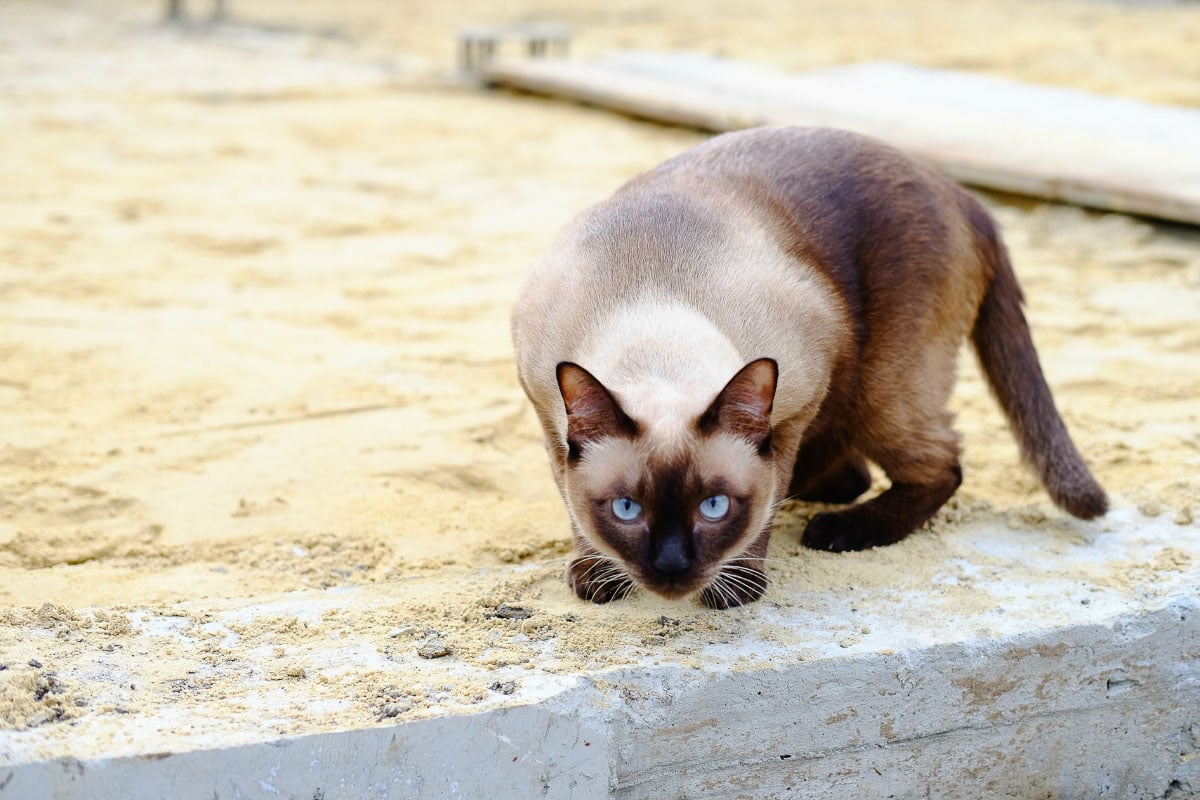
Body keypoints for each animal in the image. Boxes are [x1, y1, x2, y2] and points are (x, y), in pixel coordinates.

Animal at [506, 128, 1104, 609]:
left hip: (879, 389)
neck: (655, 309)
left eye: (714, 506)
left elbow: (768, 502)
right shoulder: (547, 415)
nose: (672, 569)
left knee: (939, 465)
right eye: (627, 508)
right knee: (857, 473)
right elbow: (572, 500)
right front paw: (595, 574)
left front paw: (739, 586)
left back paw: (841, 530)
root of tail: (962, 192)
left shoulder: (794, 406)